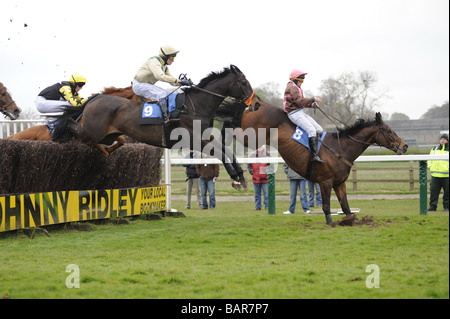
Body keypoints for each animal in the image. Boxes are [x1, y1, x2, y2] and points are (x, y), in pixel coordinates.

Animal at [51, 65, 260, 190]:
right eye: (243, 82)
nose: (256, 104)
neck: (195, 106)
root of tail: (95, 98)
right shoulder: (193, 141)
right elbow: (220, 153)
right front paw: (235, 178)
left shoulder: (204, 138)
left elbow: (227, 151)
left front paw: (240, 177)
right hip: (93, 131)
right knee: (75, 129)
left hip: (106, 135)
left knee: (106, 140)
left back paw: (106, 150)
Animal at [217, 100, 408, 225]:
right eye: (389, 130)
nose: (404, 146)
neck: (339, 149)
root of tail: (256, 104)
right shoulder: (325, 182)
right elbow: (326, 206)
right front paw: (330, 222)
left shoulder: (339, 183)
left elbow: (346, 207)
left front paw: (350, 220)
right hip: (251, 135)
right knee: (228, 127)